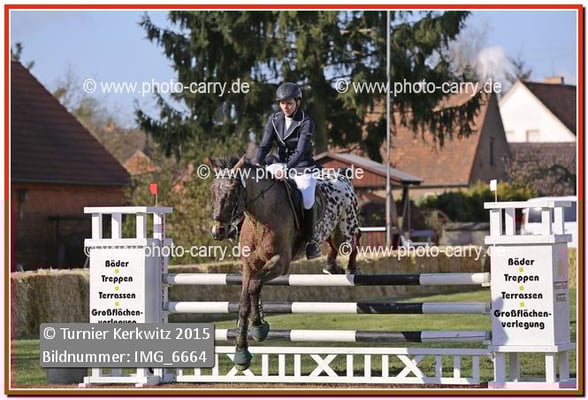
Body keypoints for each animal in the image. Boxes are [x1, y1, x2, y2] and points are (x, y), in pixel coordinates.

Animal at [207, 155, 361, 370]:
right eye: (212, 191)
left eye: (232, 192)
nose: (218, 231)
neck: (260, 218)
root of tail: (342, 176)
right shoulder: (249, 265)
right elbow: (245, 301)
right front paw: (242, 353)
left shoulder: (280, 262)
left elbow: (255, 285)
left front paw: (259, 328)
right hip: (332, 231)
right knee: (332, 245)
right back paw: (331, 265)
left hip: (345, 230)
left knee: (355, 240)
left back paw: (350, 268)